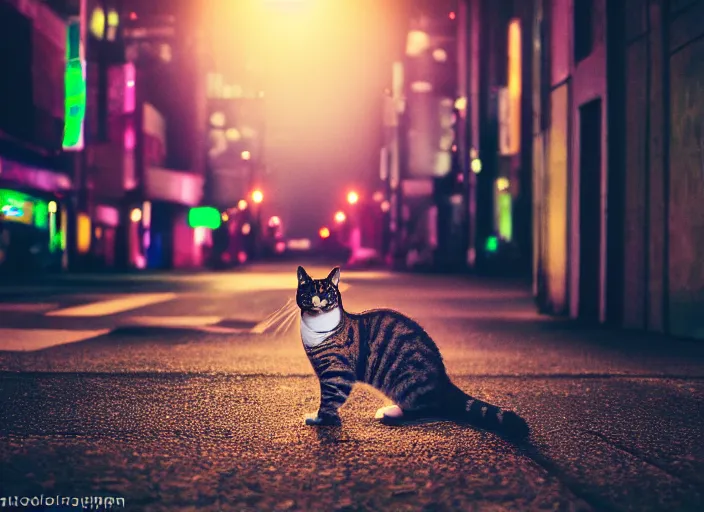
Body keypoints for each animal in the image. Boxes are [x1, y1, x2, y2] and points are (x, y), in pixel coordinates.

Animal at [294, 264, 532, 440]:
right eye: (308, 293)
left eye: (328, 292)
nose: (317, 301)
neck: (317, 328)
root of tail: (444, 381)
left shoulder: (337, 374)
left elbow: (330, 399)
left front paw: (320, 419)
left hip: (406, 382)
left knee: (429, 411)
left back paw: (393, 412)